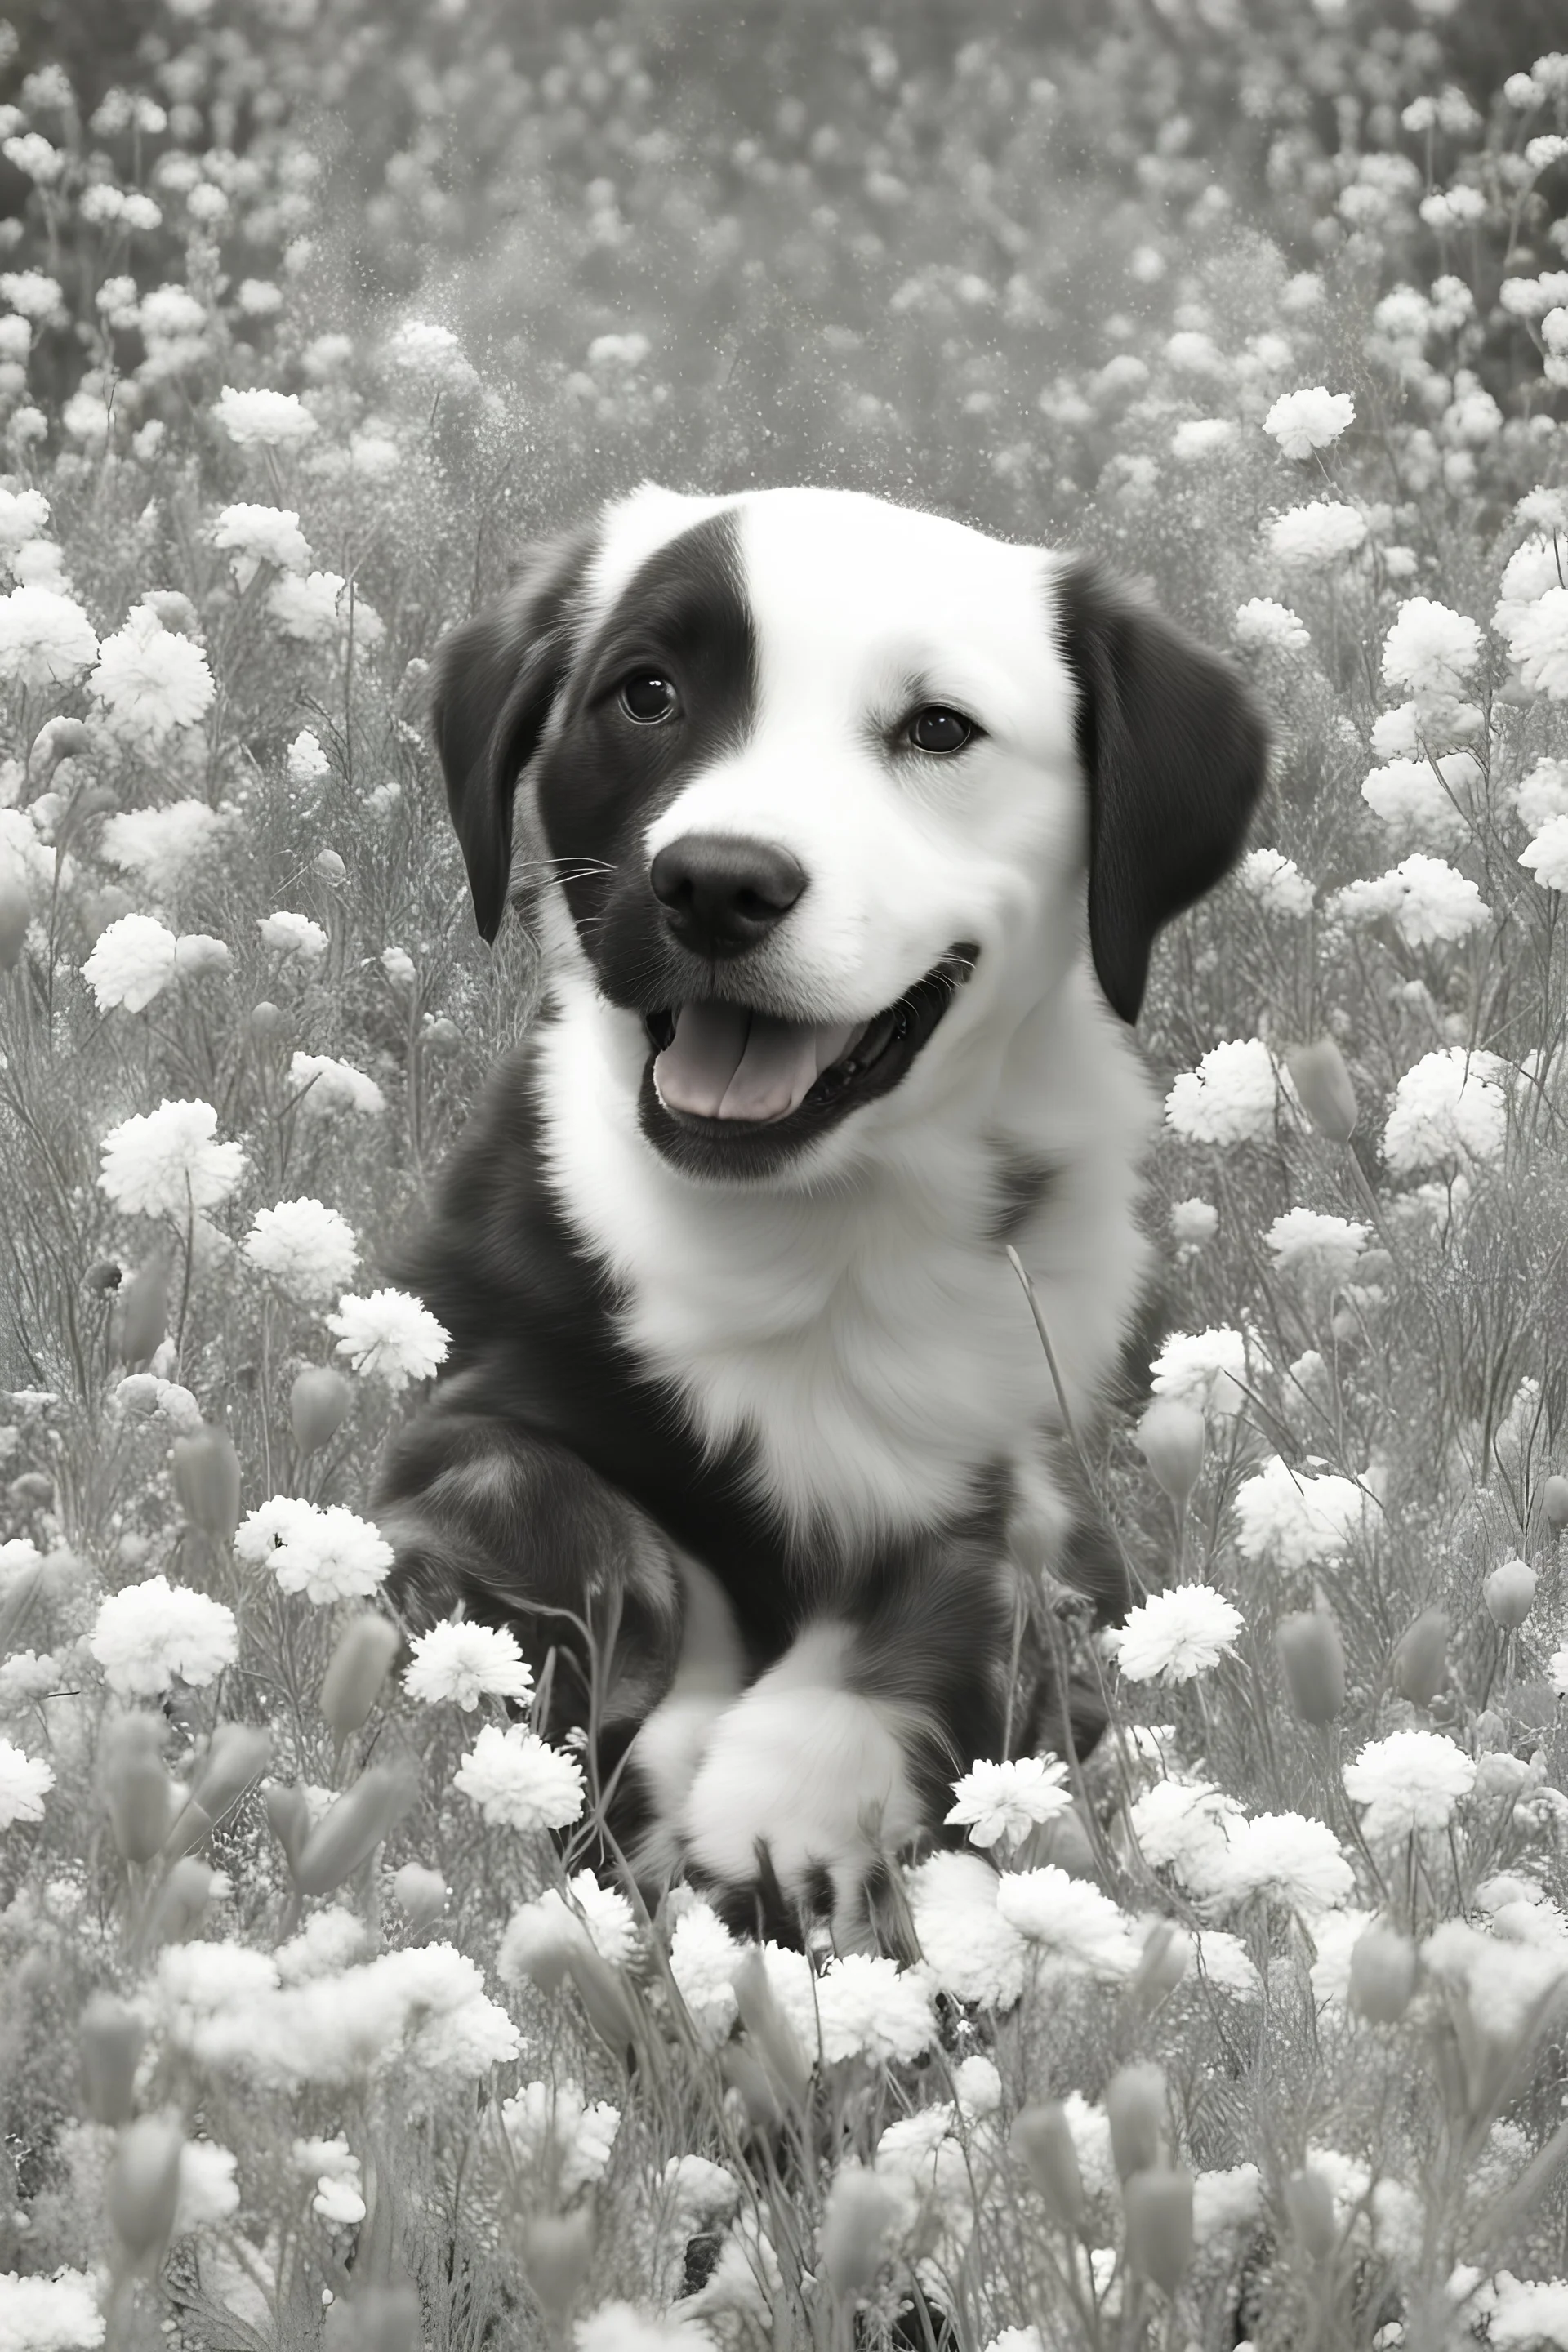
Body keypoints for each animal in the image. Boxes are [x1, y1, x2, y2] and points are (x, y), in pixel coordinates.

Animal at [373, 482, 1269, 1947]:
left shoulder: (1040, 1489)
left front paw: (778, 1797)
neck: (818, 1231)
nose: (717, 882)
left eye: (939, 729)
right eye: (647, 692)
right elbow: (558, 1504)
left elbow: (952, 1594)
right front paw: (668, 1728)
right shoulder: (456, 1411)